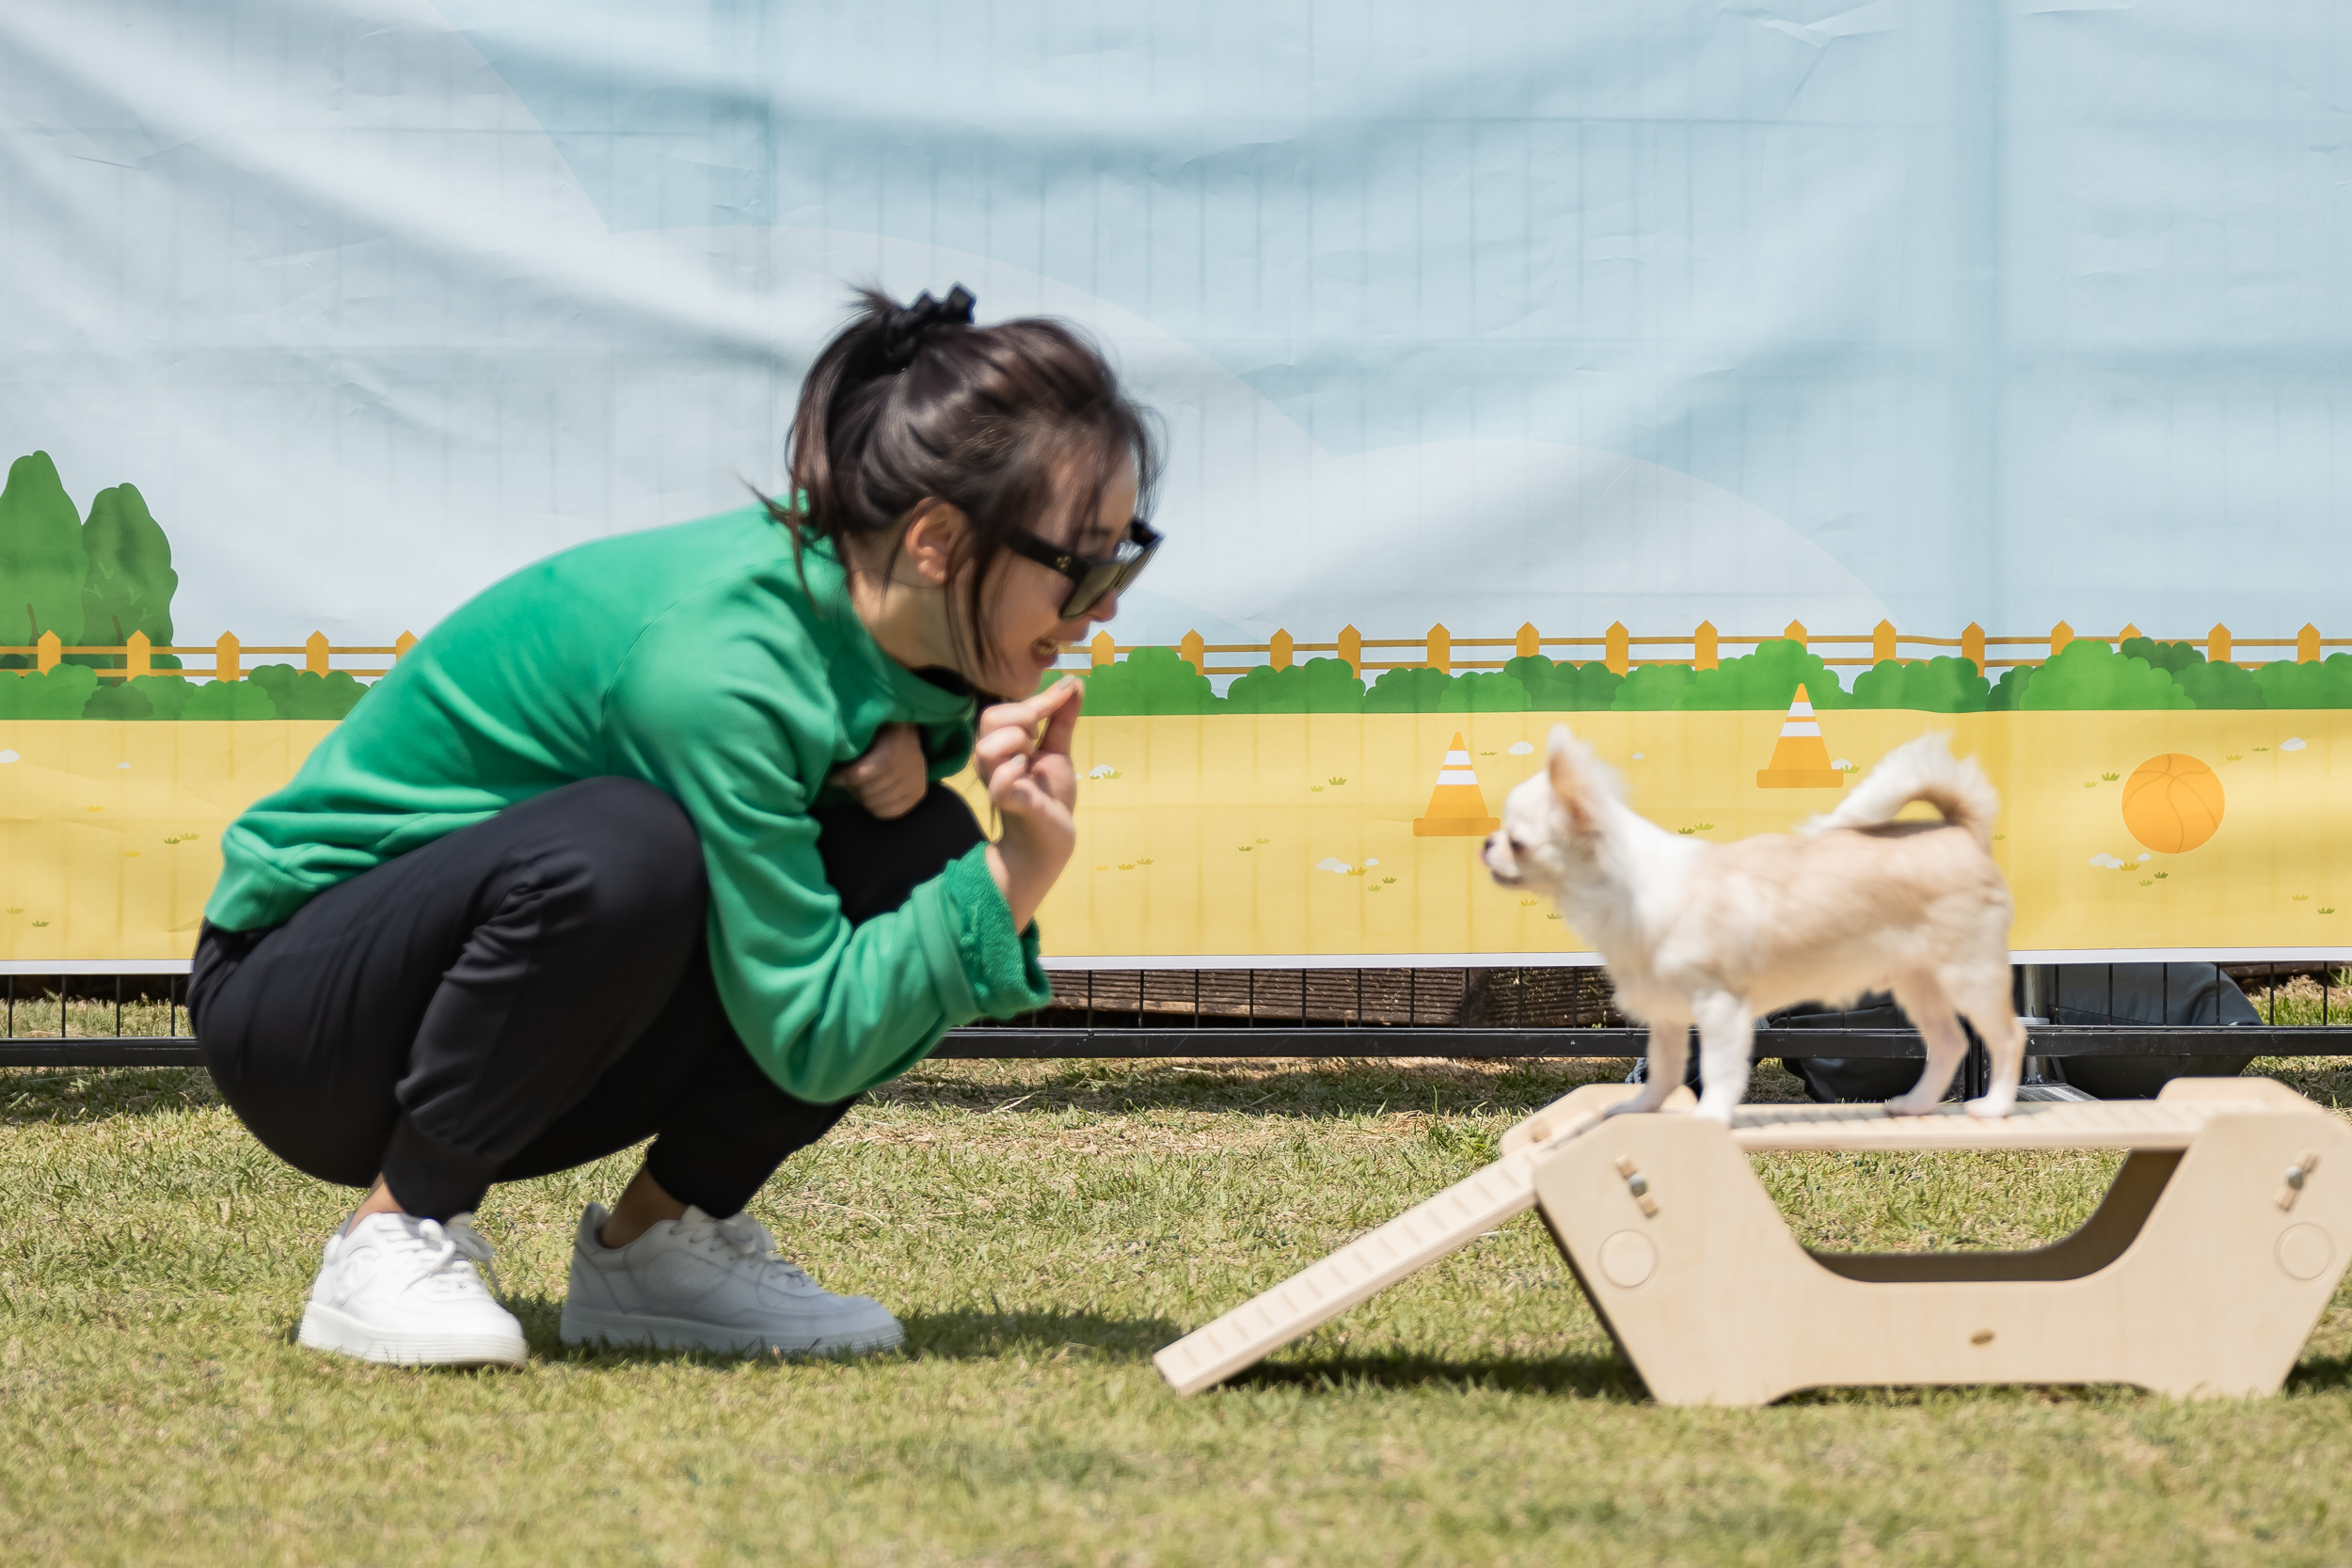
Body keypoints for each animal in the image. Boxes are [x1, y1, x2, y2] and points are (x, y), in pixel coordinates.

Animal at [1486, 728, 2023, 1123]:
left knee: (2008, 1037)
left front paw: (1709, 1116)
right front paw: (1641, 1109)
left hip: (1968, 975)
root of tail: (1961, 831)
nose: (1487, 843)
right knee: (1951, 1043)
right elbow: (1664, 1070)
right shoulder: (1667, 1015)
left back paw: (1994, 1107)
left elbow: (1719, 1069)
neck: (1627, 890)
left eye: (1518, 841)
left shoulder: (1720, 1007)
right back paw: (1916, 1104)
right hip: (1918, 984)